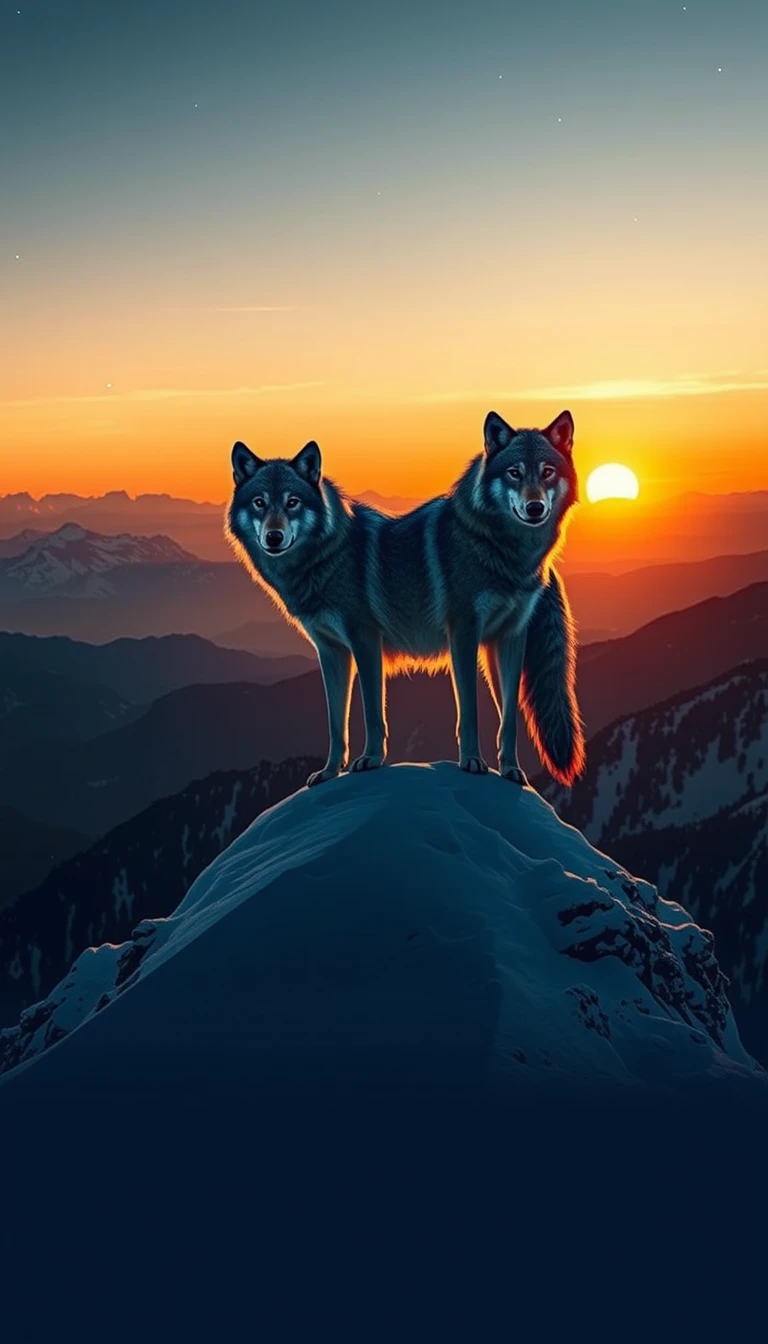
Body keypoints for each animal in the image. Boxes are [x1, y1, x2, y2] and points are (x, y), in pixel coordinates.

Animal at [226, 409, 585, 789]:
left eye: (546, 472)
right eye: (260, 503)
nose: (274, 537)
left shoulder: (492, 636)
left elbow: (481, 716)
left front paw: (483, 765)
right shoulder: (334, 651)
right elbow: (338, 723)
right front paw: (331, 772)